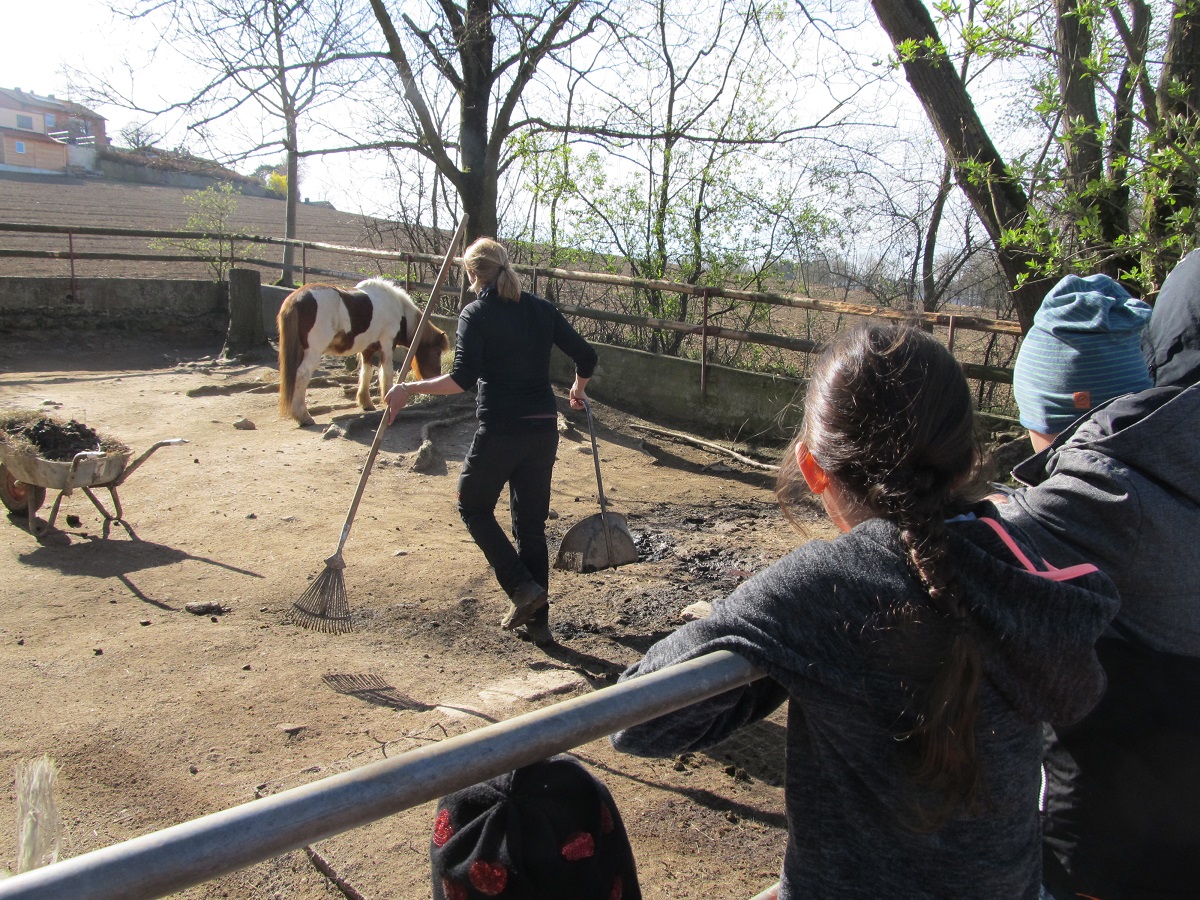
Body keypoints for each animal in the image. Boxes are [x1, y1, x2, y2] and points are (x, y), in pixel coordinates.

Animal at [277, 277, 449, 426]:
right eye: (437, 352)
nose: (435, 377)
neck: (398, 309)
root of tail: (295, 300)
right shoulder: (387, 344)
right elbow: (386, 372)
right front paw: (388, 400)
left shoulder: (367, 349)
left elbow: (366, 373)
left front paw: (366, 403)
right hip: (313, 352)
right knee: (302, 375)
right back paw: (303, 417)